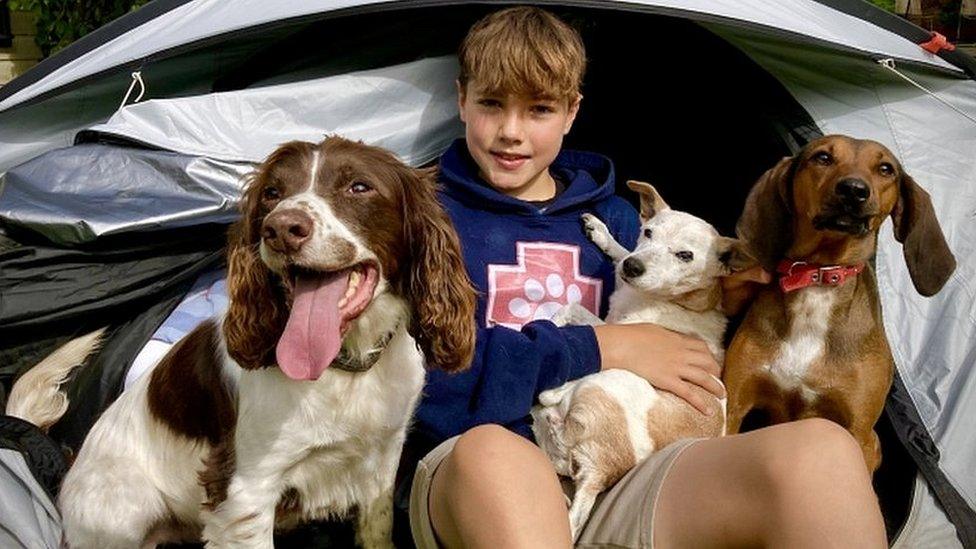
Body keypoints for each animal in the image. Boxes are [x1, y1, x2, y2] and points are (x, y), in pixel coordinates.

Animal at [532, 181, 748, 540]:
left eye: (685, 255)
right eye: (647, 232)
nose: (634, 268)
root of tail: (601, 471)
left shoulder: (616, 331)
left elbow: (572, 309)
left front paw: (550, 321)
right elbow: (620, 252)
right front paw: (603, 235)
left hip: (610, 378)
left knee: (557, 395)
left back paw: (551, 390)